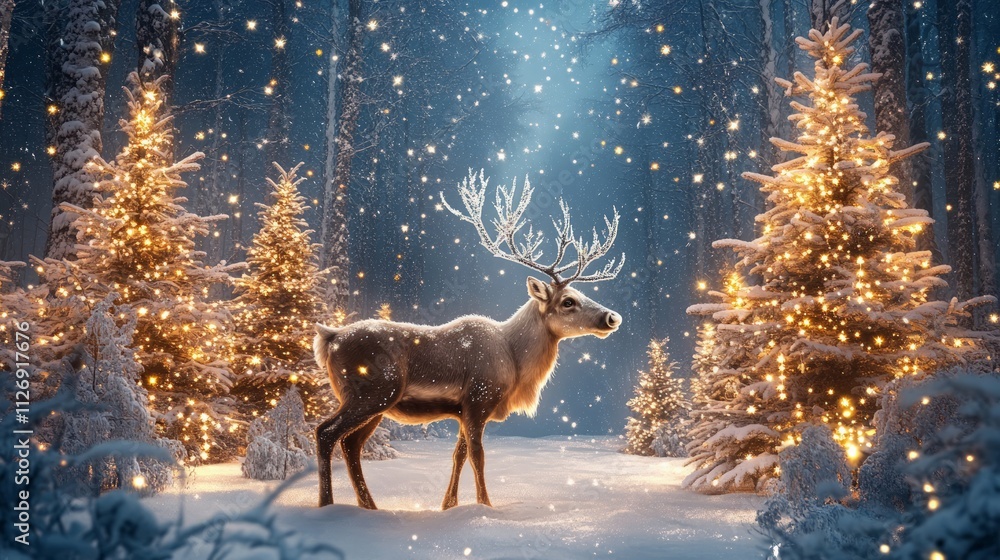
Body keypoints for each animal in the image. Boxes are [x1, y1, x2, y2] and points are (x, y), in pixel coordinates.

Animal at [313, 169, 624, 510]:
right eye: (568, 301)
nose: (612, 317)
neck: (515, 360)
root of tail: (329, 337)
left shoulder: (463, 409)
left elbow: (458, 455)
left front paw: (449, 504)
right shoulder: (478, 398)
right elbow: (478, 456)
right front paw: (485, 505)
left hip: (375, 403)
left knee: (350, 443)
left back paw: (369, 506)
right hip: (369, 393)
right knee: (325, 432)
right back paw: (327, 504)